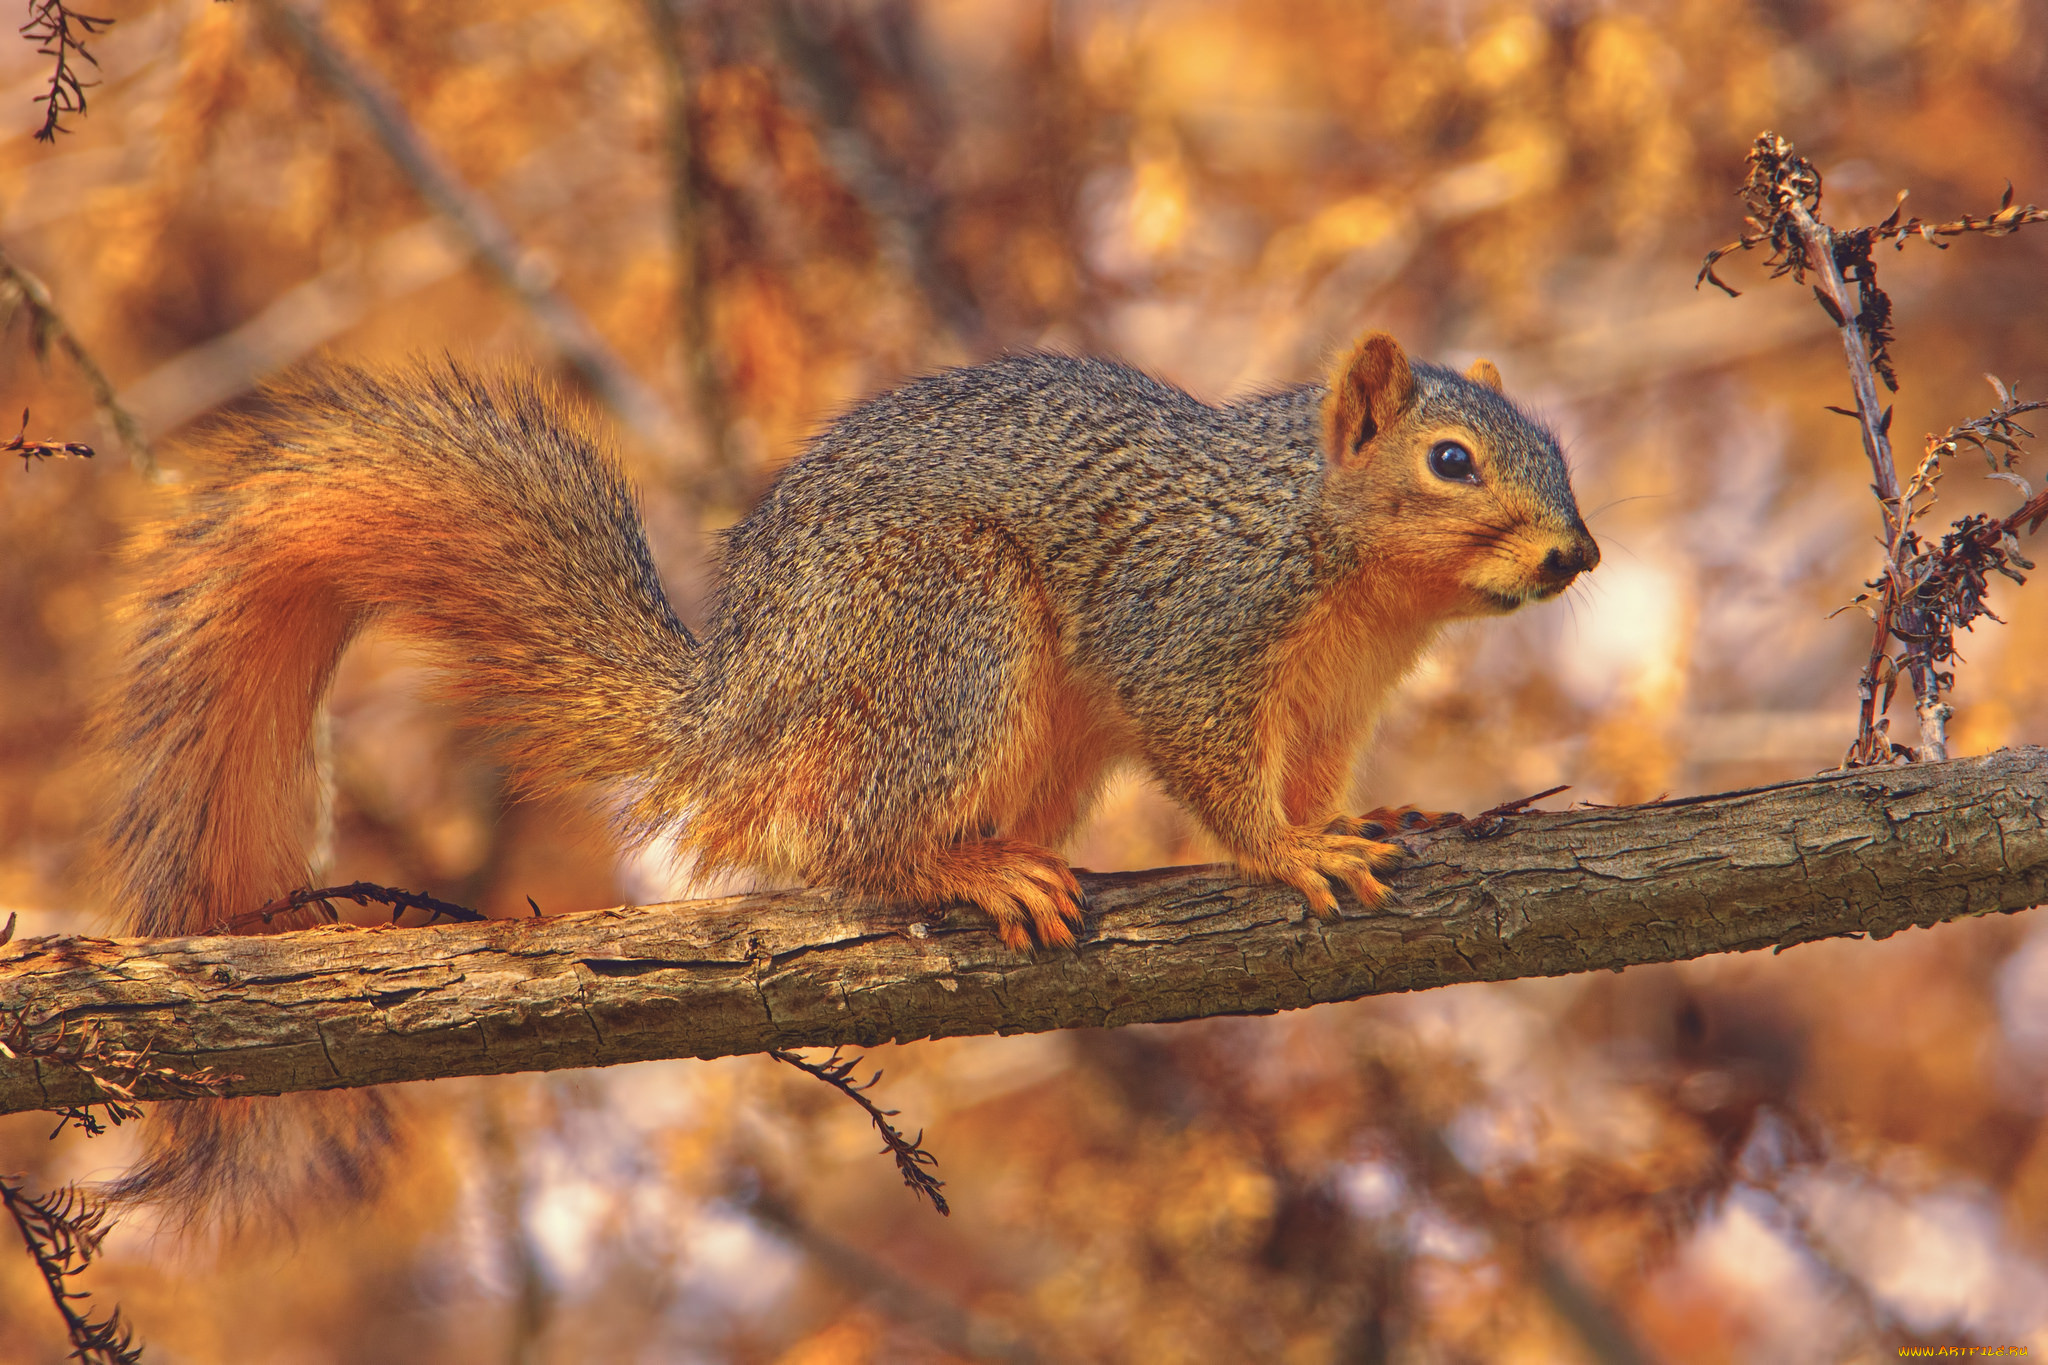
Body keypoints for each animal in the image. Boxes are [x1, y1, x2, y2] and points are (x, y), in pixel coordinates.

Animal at [96, 331, 1597, 1219]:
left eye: (1558, 450)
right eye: (1450, 460)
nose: (1576, 554)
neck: (1341, 562)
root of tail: (745, 706)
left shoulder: (1333, 695)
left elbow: (1313, 776)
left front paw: (1357, 817)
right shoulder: (1191, 628)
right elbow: (1218, 768)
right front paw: (1285, 853)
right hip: (949, 630)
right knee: (855, 844)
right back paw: (967, 872)